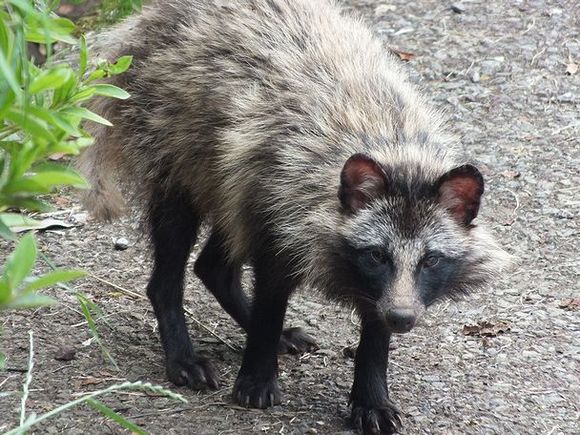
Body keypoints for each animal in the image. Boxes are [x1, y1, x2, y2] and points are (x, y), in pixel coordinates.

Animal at [80, 1, 508, 434]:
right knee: (171, 262)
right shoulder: (283, 209)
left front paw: (370, 389)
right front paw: (257, 369)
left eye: (431, 260)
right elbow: (271, 296)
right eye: (377, 256)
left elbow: (374, 321)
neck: (391, 145)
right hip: (179, 152)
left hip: (232, 183)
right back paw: (183, 349)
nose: (402, 318)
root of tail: (148, 18)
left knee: (214, 262)